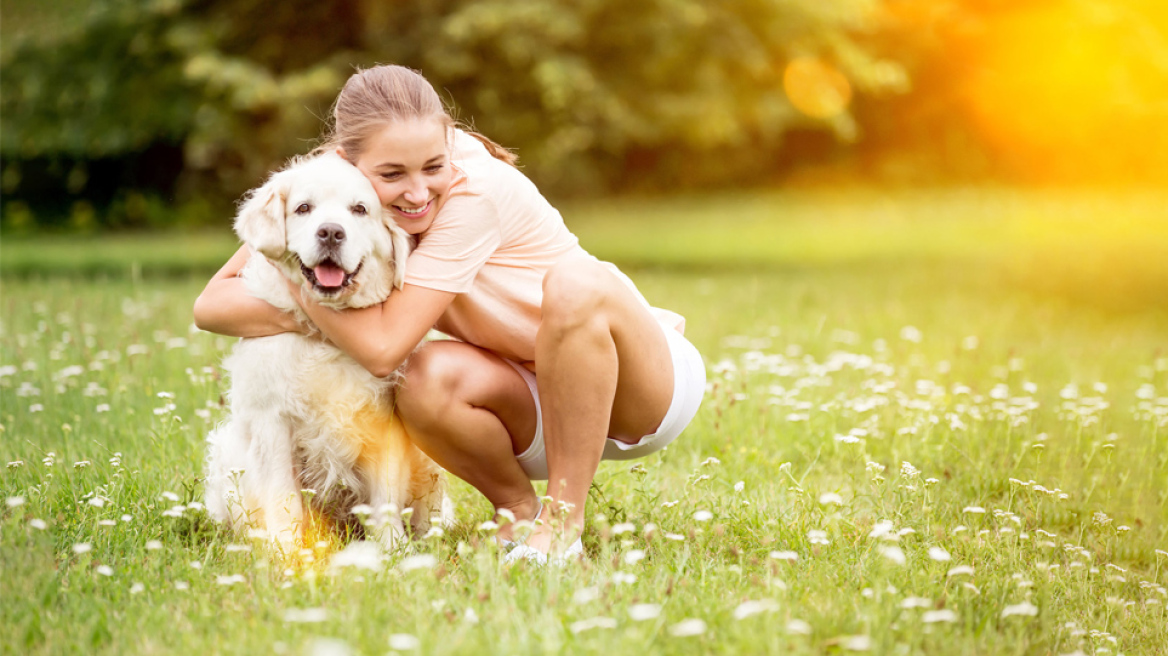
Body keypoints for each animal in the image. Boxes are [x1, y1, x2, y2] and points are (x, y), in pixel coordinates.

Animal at [205, 154, 450, 550]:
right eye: (303, 208)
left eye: (360, 209)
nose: (331, 233)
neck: (329, 334)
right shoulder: (272, 422)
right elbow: (283, 497)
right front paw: (288, 551)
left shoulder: (385, 423)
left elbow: (385, 497)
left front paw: (392, 549)